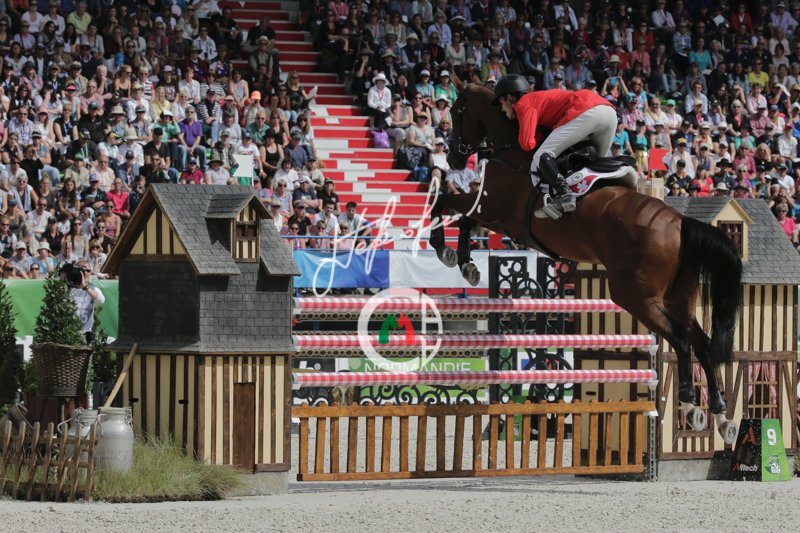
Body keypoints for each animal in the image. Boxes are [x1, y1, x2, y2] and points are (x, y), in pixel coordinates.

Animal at [428, 84, 743, 444]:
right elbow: (459, 214)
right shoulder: (493, 214)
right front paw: (464, 262)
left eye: (456, 112)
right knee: (702, 343)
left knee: (681, 339)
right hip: (679, 299)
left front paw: (449, 252)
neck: (508, 147)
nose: (453, 158)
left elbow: (450, 206)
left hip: (637, 297)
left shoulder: (495, 212)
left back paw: (691, 404)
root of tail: (681, 223)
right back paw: (720, 415)